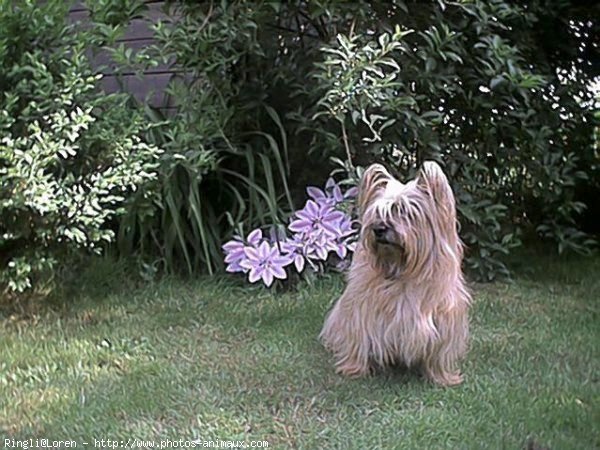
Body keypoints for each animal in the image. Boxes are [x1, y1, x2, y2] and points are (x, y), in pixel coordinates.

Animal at [322, 162, 472, 386]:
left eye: (404, 211)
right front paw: (354, 369)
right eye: (377, 213)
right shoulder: (360, 311)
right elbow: (358, 341)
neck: (401, 268)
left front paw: (442, 378)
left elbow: (439, 353)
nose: (379, 229)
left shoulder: (445, 318)